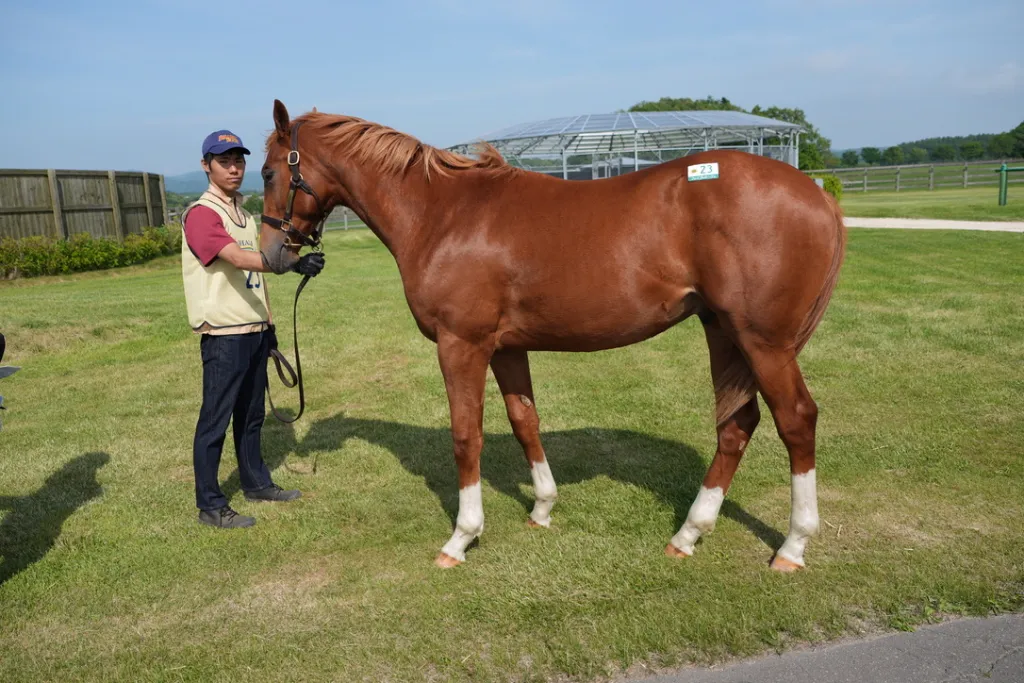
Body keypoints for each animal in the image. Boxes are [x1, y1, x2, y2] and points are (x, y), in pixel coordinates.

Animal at [259, 100, 847, 571]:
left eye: (267, 172)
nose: (272, 254)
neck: (443, 214)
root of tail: (817, 196)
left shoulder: (461, 345)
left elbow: (465, 435)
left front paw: (461, 537)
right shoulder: (507, 347)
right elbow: (524, 421)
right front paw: (542, 508)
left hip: (763, 342)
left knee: (796, 421)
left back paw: (792, 546)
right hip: (721, 330)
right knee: (736, 424)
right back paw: (688, 534)